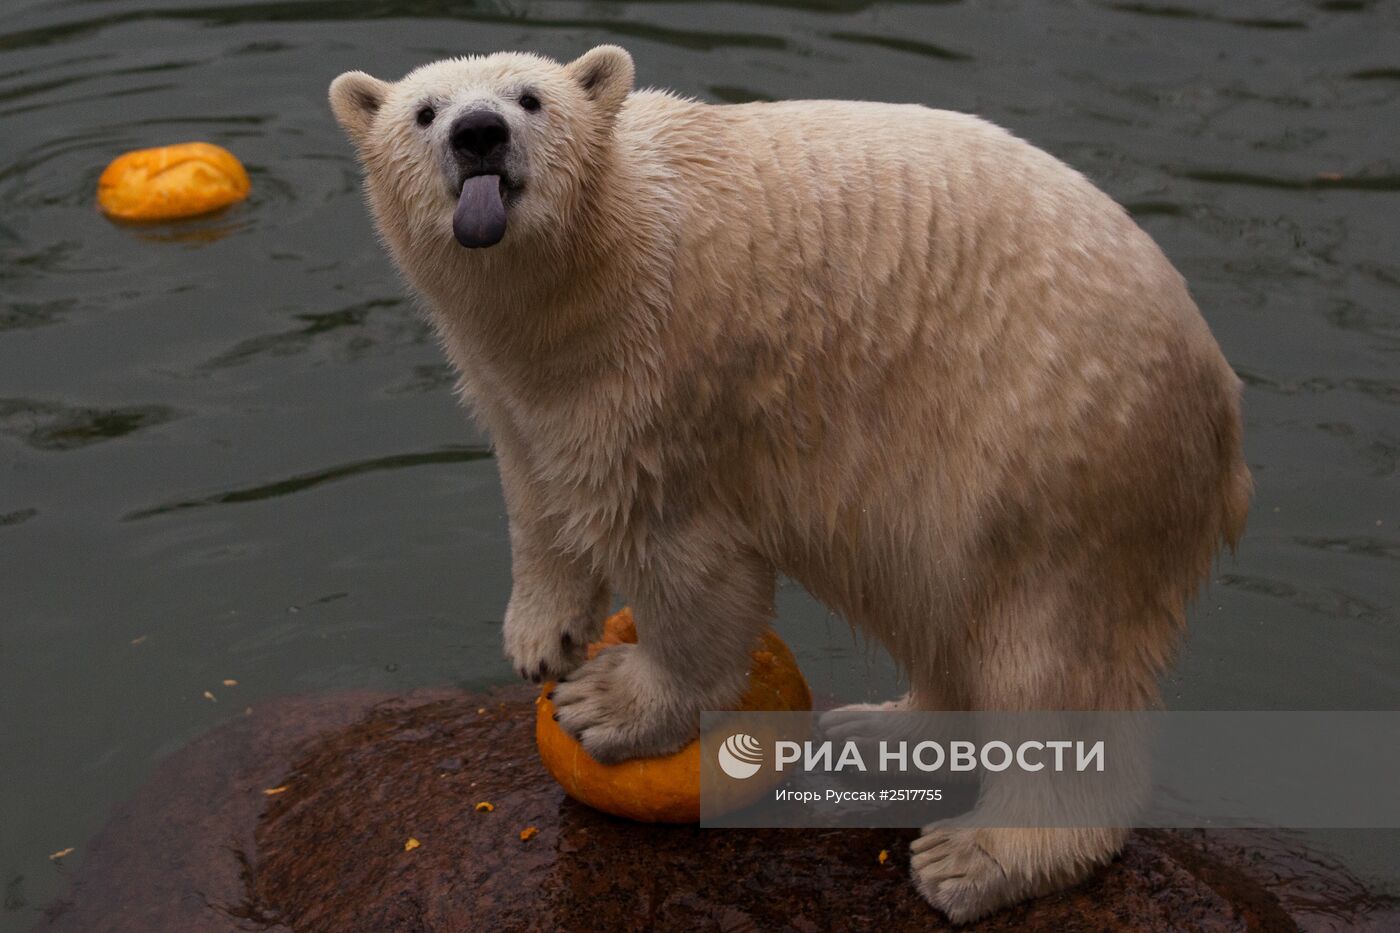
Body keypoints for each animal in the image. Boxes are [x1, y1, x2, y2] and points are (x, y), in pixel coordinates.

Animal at [327, 47, 1248, 918]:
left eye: (531, 99)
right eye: (424, 111)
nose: (478, 134)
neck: (594, 268)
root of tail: (1221, 402)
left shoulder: (669, 372)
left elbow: (681, 557)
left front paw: (607, 702)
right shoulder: (517, 383)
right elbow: (536, 487)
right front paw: (541, 635)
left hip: (1051, 456)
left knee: (1046, 658)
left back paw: (980, 857)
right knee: (936, 607)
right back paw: (881, 732)